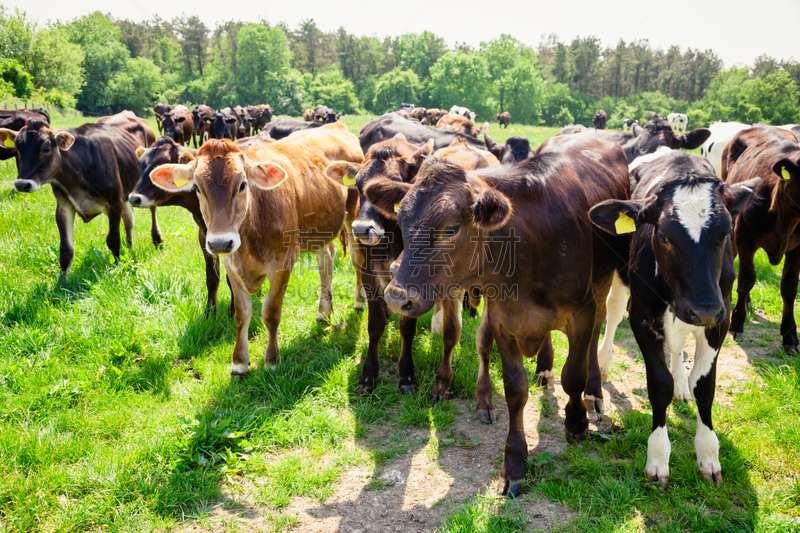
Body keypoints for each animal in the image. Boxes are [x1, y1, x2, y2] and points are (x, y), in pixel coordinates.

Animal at [0, 111, 158, 270]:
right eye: (18, 148)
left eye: (46, 148)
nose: (22, 184)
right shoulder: (64, 206)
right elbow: (66, 251)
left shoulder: (114, 202)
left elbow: (113, 240)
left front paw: (117, 267)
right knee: (129, 219)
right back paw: (130, 248)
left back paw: (156, 239)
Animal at [148, 124, 364, 374]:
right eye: (198, 188)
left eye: (242, 185)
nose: (220, 243)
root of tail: (336, 126)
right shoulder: (232, 265)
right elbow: (242, 314)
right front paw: (239, 362)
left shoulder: (283, 263)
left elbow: (270, 312)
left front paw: (272, 360)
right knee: (326, 261)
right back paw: (323, 312)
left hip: (353, 214)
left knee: (358, 258)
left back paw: (359, 302)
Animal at [362, 131, 632, 496]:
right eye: (401, 220)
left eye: (450, 229)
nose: (395, 297)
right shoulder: (505, 320)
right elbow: (515, 390)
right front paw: (515, 462)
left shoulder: (583, 312)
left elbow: (573, 375)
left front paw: (577, 423)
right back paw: (544, 366)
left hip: (603, 283)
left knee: (595, 339)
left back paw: (594, 392)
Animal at [592, 148, 760, 488]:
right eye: (665, 237)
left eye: (726, 233)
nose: (703, 308)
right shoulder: (642, 317)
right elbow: (659, 385)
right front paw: (657, 458)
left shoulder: (720, 318)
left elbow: (704, 386)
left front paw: (708, 455)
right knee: (613, 310)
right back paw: (603, 362)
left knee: (678, 346)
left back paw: (682, 384)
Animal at [720, 122, 800, 352]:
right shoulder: (744, 237)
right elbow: (746, 278)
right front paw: (737, 322)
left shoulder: (798, 248)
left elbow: (789, 286)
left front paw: (790, 335)